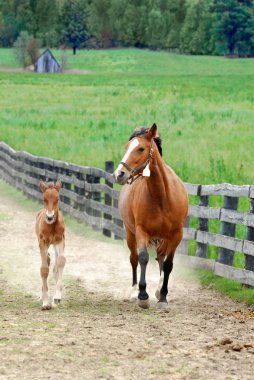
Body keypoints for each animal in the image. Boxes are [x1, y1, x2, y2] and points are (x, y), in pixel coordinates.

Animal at [114, 124, 188, 308]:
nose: (119, 174)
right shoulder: (142, 232)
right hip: (130, 233)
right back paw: (134, 292)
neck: (162, 197)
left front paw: (163, 297)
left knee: (161, 257)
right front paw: (142, 295)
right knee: (134, 259)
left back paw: (159, 290)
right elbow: (143, 258)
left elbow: (168, 264)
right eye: (127, 147)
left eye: (141, 148)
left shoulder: (176, 235)